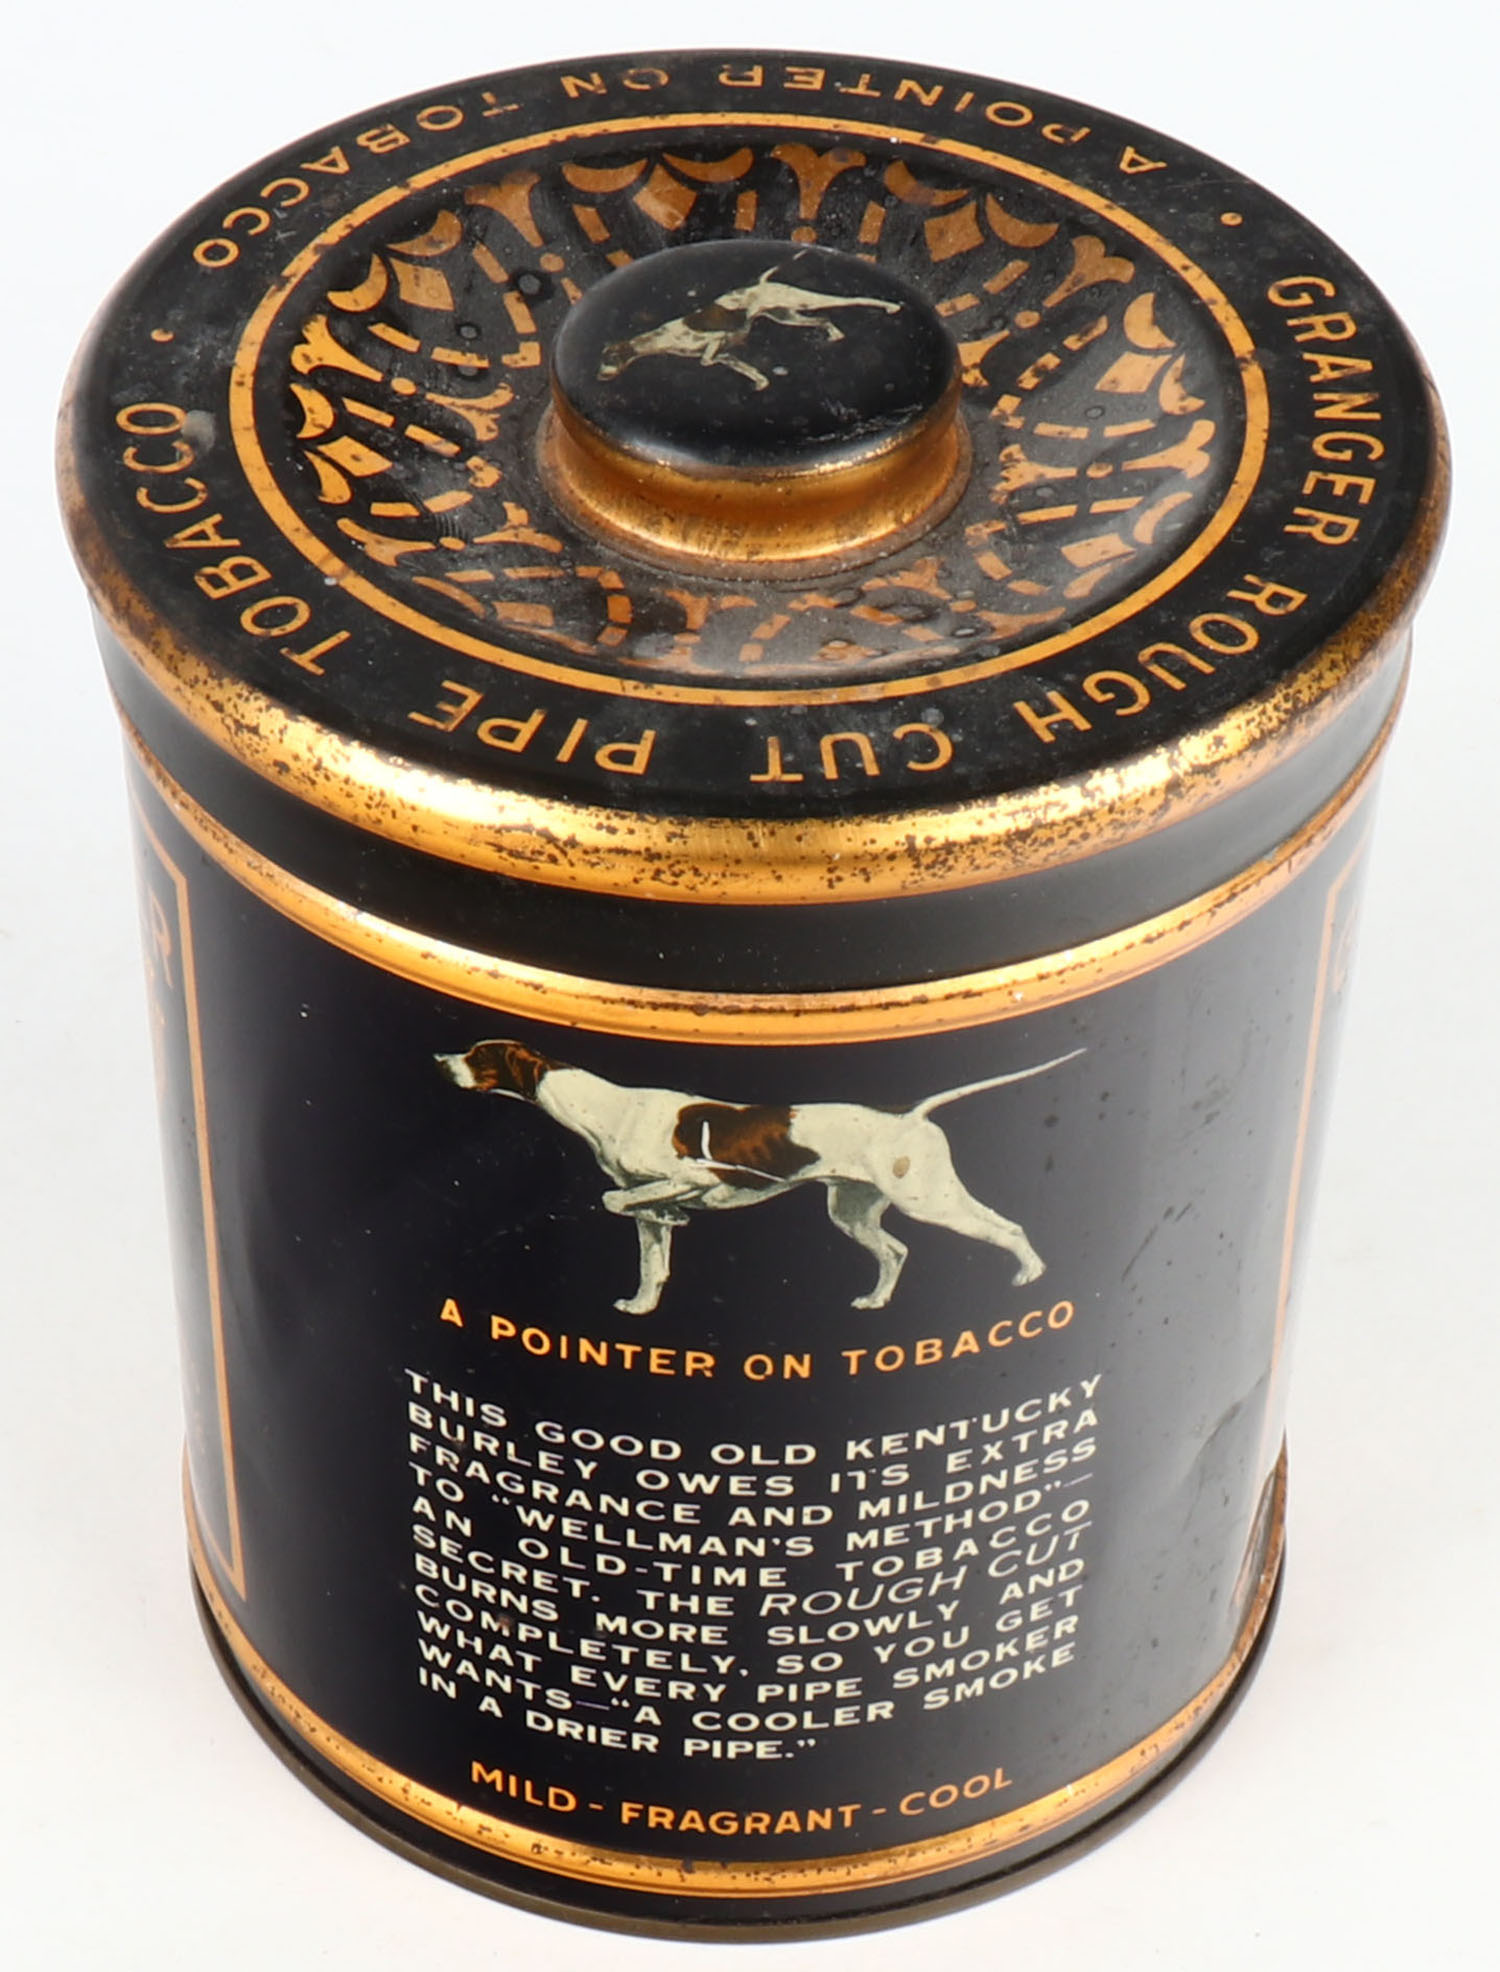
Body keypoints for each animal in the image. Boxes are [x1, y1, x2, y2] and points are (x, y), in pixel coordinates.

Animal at [435, 1041, 1081, 1316]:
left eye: (479, 1055)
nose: (439, 1061)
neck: (606, 1107)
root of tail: (908, 1114)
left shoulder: (696, 1175)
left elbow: (617, 1196)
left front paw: (669, 1210)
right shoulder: (649, 1216)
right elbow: (649, 1254)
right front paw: (642, 1305)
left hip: (930, 1198)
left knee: (1008, 1227)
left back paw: (1031, 1274)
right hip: (851, 1210)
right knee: (895, 1251)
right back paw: (875, 1300)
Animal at [596, 266, 902, 392]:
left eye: (609, 361)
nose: (599, 377)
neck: (662, 338)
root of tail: (760, 282)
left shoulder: (716, 343)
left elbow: (708, 358)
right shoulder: (727, 355)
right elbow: (744, 367)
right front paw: (761, 382)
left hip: (803, 300)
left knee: (850, 299)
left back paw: (891, 306)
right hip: (786, 316)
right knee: (824, 320)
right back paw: (835, 335)